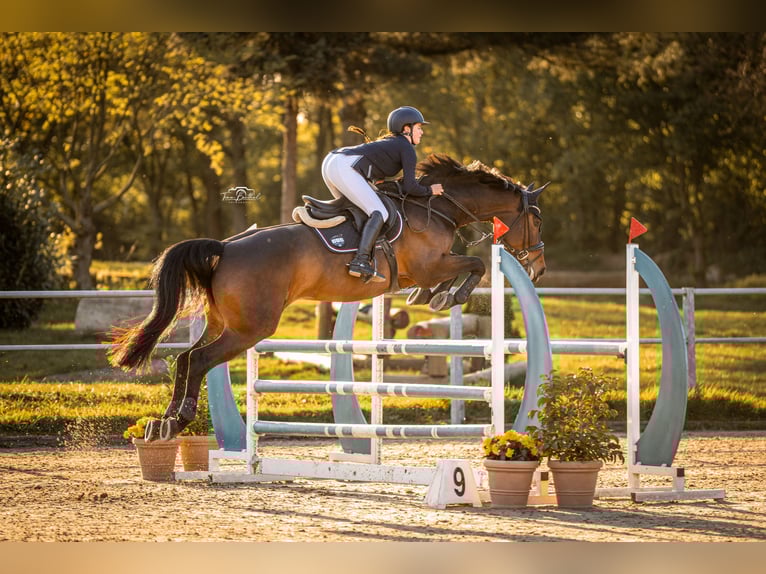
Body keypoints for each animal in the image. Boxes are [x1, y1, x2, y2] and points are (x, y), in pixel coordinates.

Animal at [109, 153, 547, 441]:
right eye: (537, 218)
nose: (539, 268)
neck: (437, 206)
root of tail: (226, 247)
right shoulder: (430, 264)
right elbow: (475, 265)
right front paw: (445, 297)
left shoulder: (422, 270)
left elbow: (454, 273)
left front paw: (433, 296)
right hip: (250, 328)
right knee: (199, 360)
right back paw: (178, 421)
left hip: (224, 322)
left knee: (185, 359)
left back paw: (161, 424)